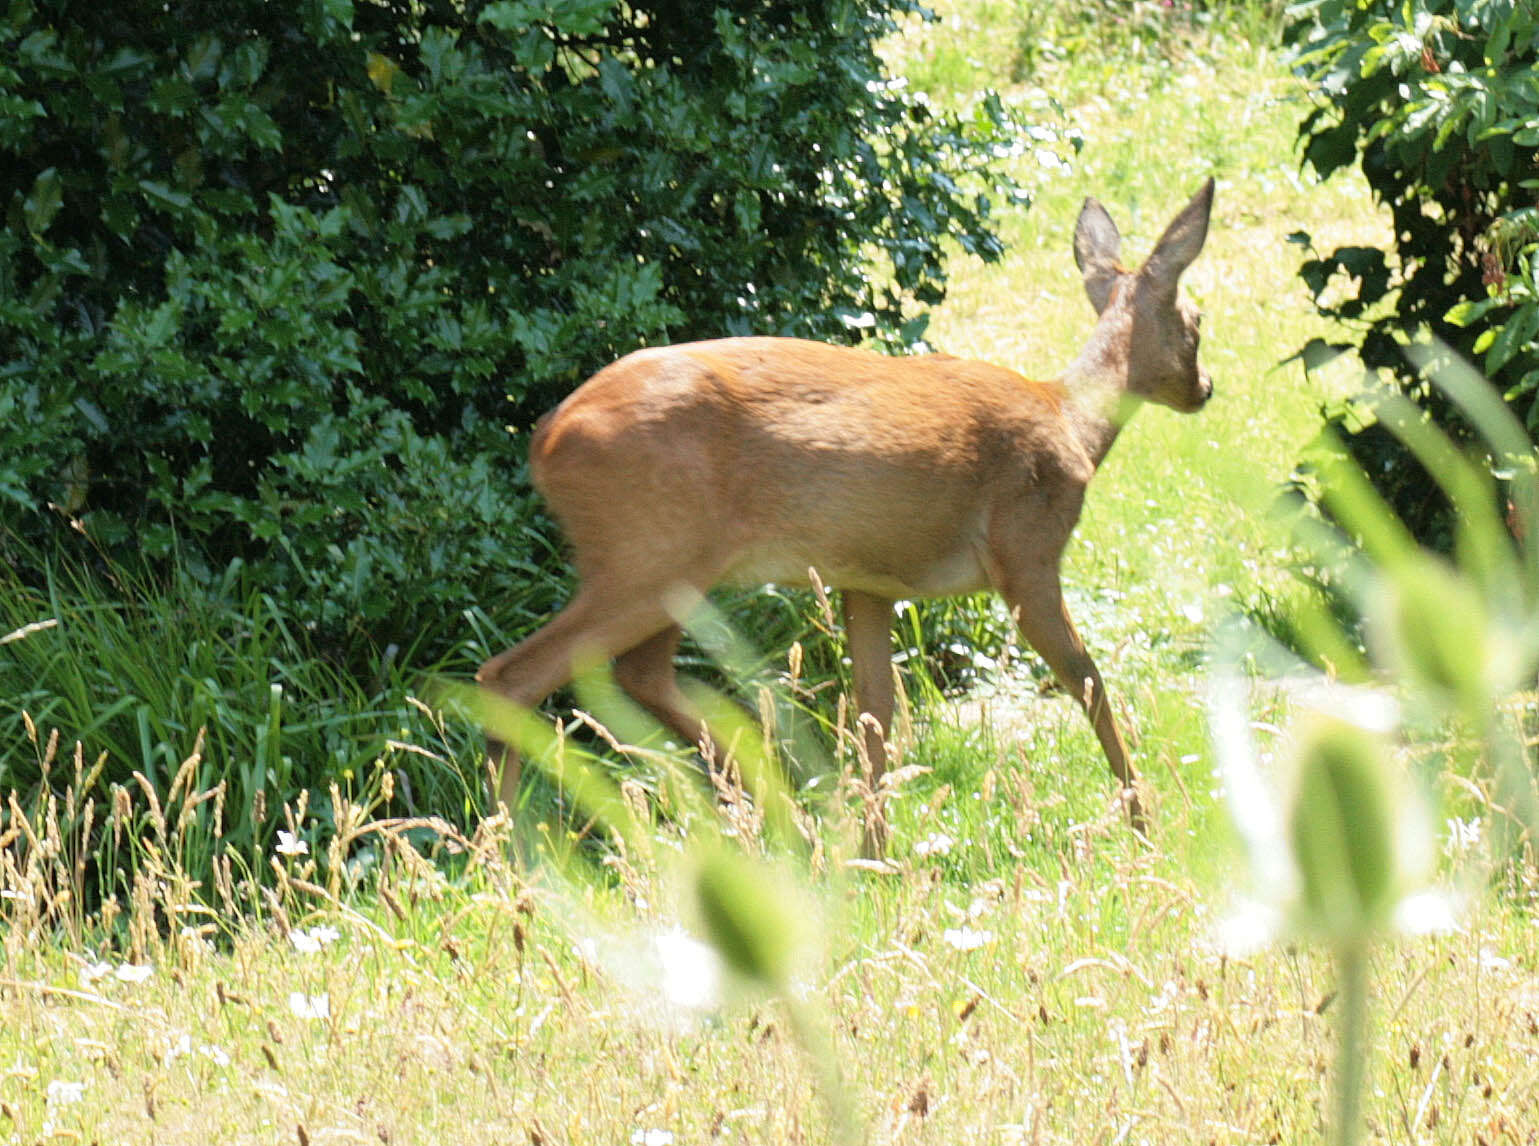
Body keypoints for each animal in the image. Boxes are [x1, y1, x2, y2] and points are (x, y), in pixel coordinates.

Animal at [480, 176, 1212, 842]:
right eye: (1198, 321)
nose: (1205, 388)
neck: (1072, 420)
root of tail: (546, 441)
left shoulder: (868, 581)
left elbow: (874, 710)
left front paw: (875, 850)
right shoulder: (1027, 549)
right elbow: (1087, 680)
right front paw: (1144, 824)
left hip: (665, 566)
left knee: (639, 675)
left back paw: (786, 819)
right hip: (648, 556)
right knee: (514, 675)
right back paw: (513, 856)